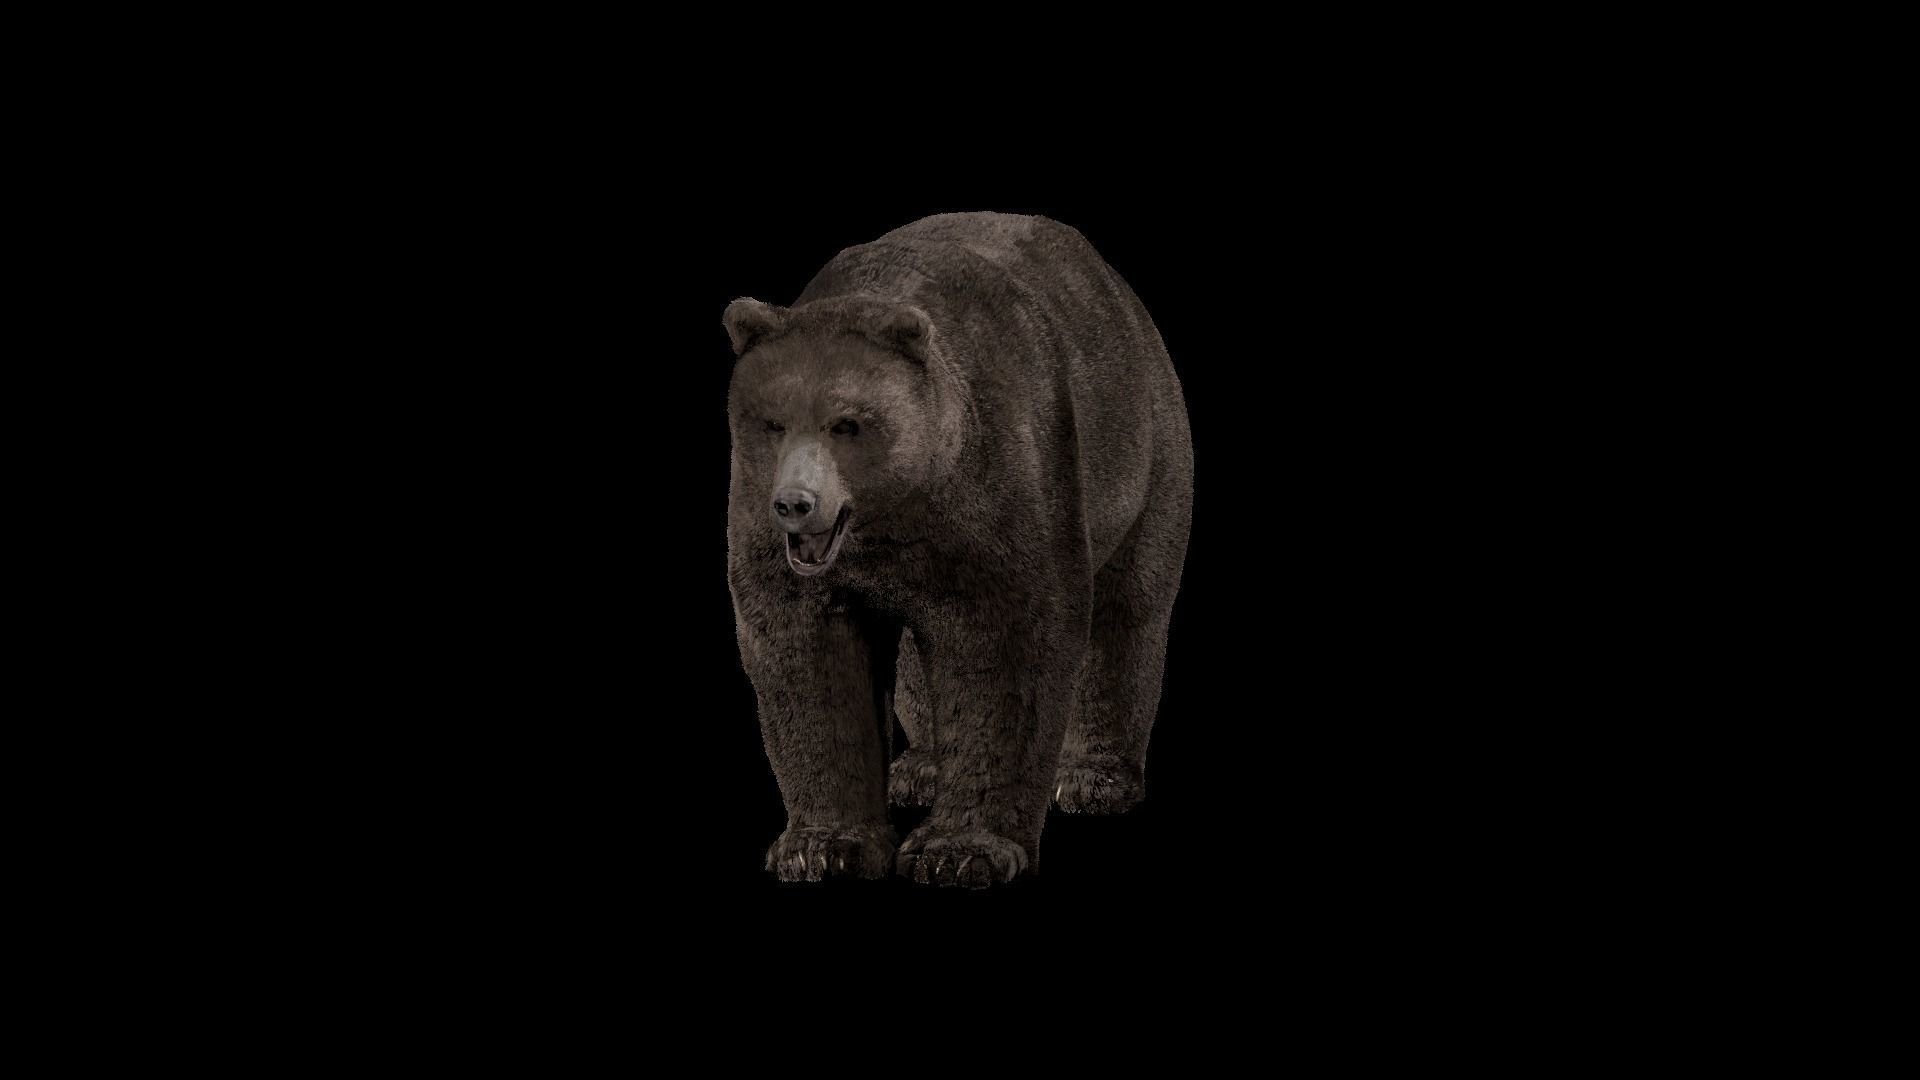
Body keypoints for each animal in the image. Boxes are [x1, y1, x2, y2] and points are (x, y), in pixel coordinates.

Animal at [724, 212, 1193, 887]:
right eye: (772, 422)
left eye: (847, 423)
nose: (796, 502)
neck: (893, 515)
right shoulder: (764, 520)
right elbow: (806, 653)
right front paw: (822, 845)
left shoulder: (1000, 476)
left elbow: (1007, 643)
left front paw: (960, 850)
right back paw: (919, 769)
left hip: (1142, 450)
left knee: (1126, 612)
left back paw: (1092, 777)